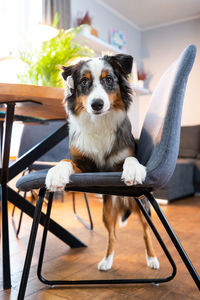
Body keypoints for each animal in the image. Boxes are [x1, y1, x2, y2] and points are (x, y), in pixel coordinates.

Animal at [45, 54, 159, 272]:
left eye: (109, 79)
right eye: (84, 82)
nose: (97, 104)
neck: (99, 123)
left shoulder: (122, 157)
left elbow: (130, 158)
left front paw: (133, 170)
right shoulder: (85, 167)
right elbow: (66, 161)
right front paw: (56, 173)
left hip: (143, 206)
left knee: (146, 232)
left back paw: (152, 258)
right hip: (107, 210)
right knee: (112, 235)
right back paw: (107, 261)